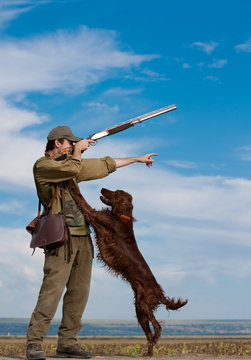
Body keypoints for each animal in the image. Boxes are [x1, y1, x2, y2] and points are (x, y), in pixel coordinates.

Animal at [65, 181, 187, 356]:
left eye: (115, 192)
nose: (102, 188)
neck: (121, 216)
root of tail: (159, 292)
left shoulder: (95, 216)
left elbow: (81, 199)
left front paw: (70, 183)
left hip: (145, 304)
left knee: (157, 326)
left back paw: (155, 340)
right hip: (140, 311)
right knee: (148, 333)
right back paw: (148, 353)